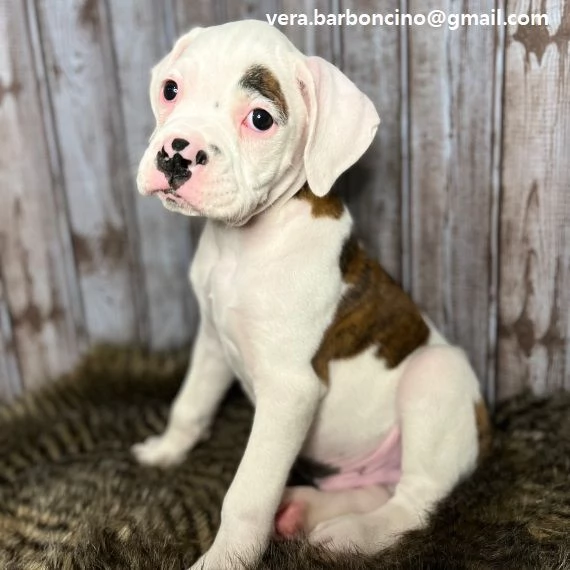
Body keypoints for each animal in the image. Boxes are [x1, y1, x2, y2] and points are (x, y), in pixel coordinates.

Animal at [133, 20, 488, 568]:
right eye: (171, 89)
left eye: (260, 119)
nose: (177, 152)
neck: (242, 243)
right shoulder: (212, 341)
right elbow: (190, 404)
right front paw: (167, 450)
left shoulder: (289, 392)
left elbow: (246, 495)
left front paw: (224, 558)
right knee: (381, 490)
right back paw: (305, 511)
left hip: (435, 374)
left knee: (414, 505)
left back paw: (351, 536)